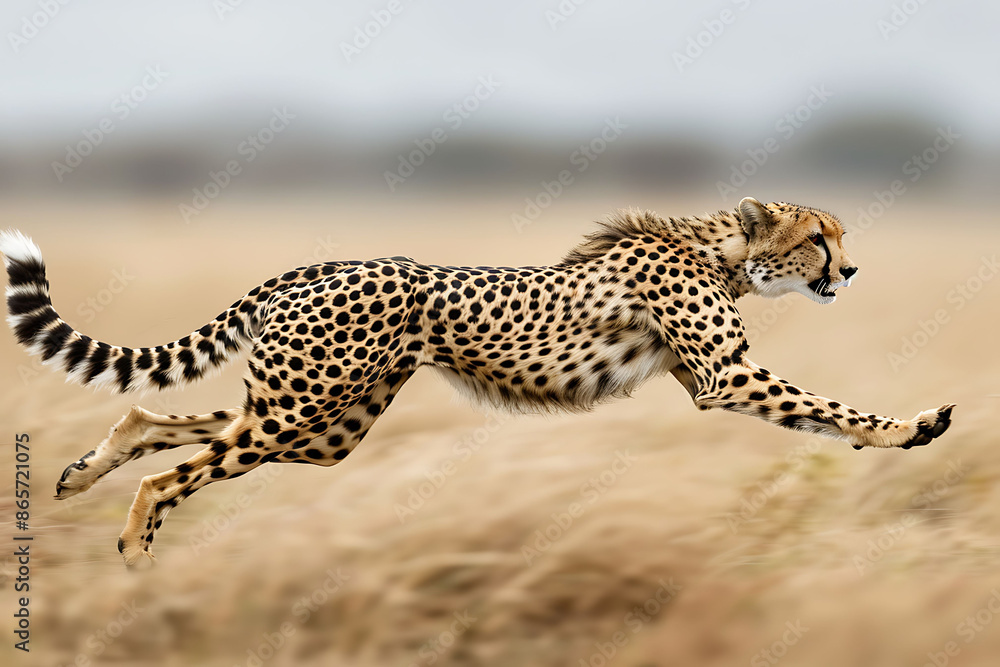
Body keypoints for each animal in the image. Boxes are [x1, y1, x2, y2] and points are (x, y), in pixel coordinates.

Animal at [0, 197, 955, 568]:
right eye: (819, 237)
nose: (851, 270)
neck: (722, 249)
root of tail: (317, 262)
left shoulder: (708, 379)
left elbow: (820, 415)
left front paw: (904, 432)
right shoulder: (728, 375)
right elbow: (829, 404)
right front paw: (910, 427)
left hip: (323, 423)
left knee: (156, 416)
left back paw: (83, 472)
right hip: (303, 409)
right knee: (175, 467)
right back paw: (133, 544)